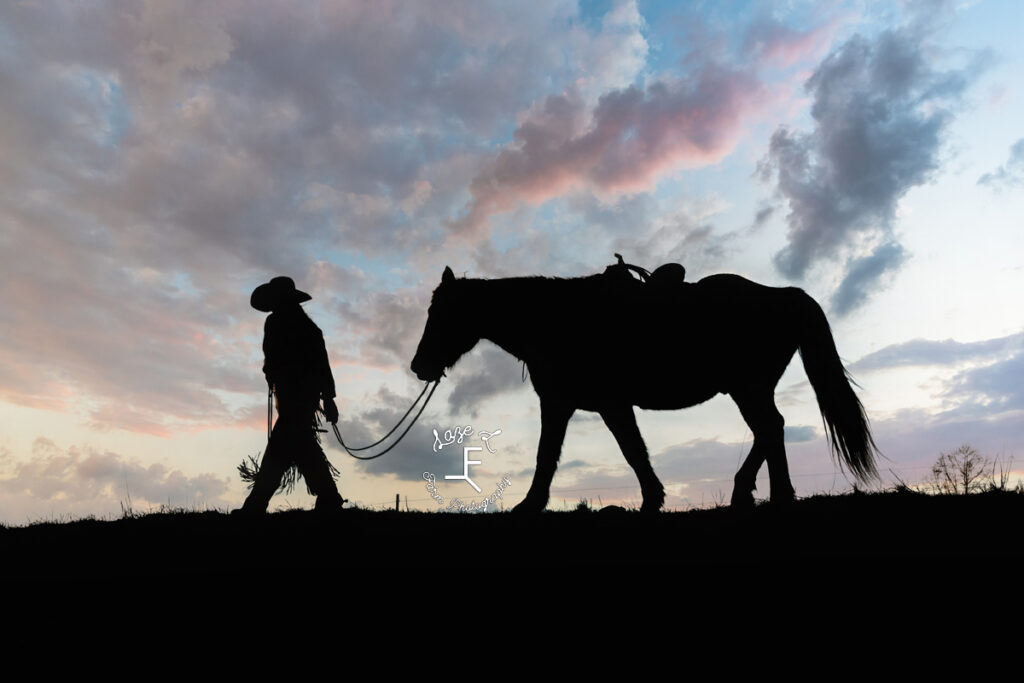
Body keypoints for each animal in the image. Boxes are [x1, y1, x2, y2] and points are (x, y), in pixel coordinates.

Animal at [411, 266, 876, 511]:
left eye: (440, 313)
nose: (419, 366)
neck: (557, 319)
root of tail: (783, 294)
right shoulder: (575, 404)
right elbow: (590, 452)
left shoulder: (595, 404)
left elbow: (616, 451)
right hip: (750, 388)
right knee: (771, 430)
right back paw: (767, 494)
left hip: (747, 388)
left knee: (770, 428)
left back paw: (758, 492)